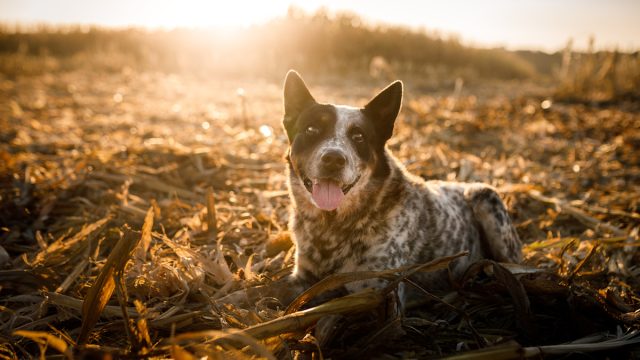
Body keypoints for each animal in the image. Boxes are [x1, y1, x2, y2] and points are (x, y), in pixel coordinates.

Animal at [282, 69, 524, 300]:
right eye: (311, 129)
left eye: (359, 136)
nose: (333, 158)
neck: (330, 228)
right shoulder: (303, 279)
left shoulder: (377, 290)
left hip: (486, 198)